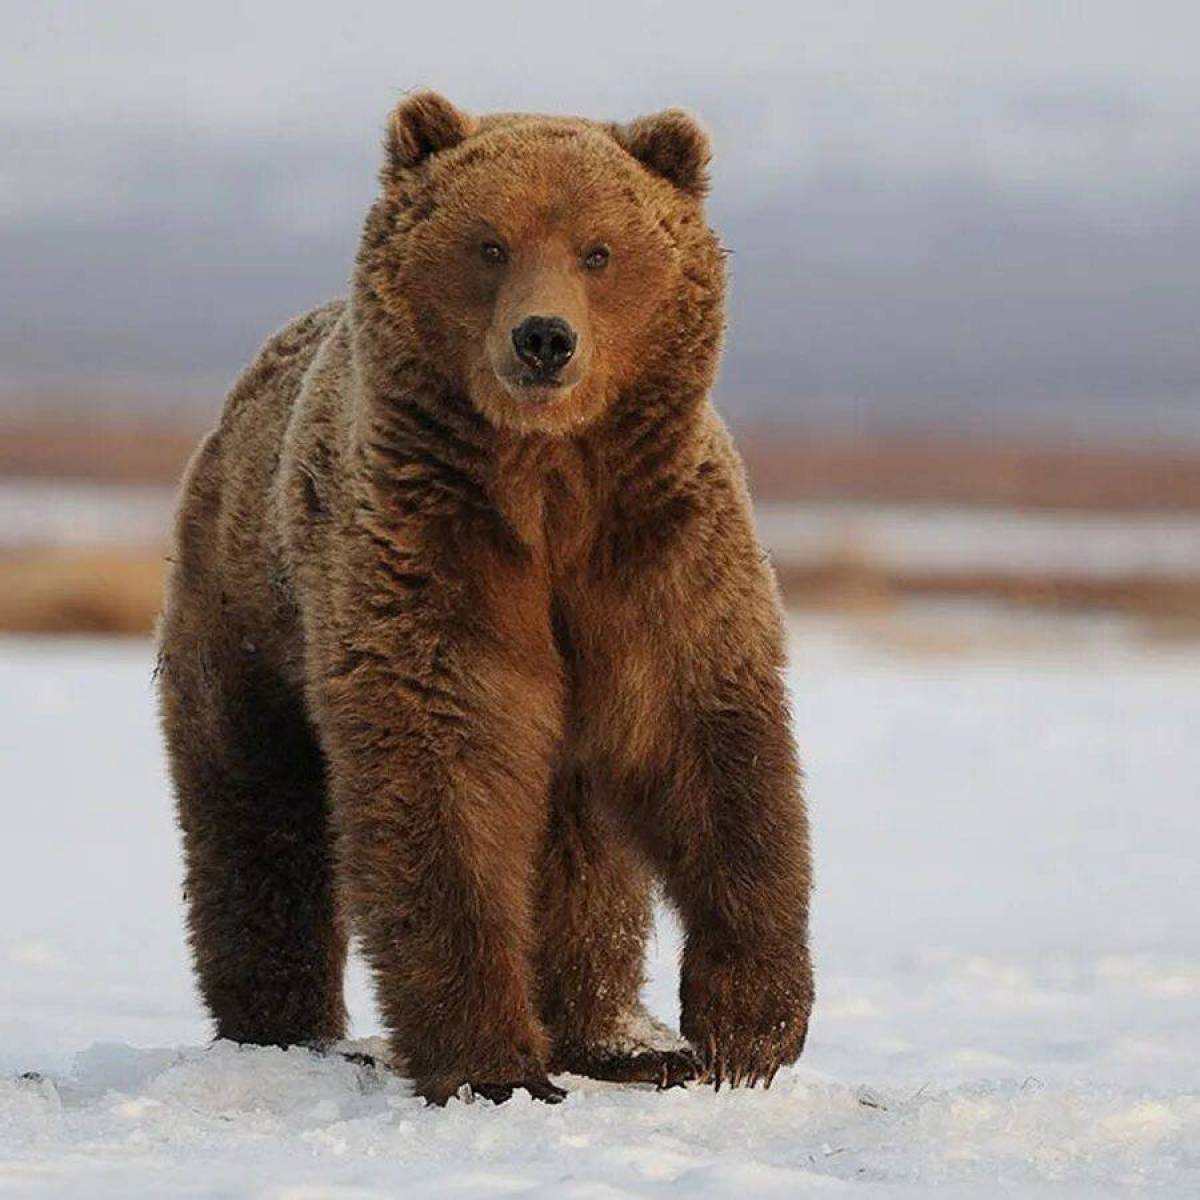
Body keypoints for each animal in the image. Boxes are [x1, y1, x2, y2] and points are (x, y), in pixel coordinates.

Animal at [157, 93, 816, 1104]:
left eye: (598, 249)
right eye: (490, 243)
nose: (544, 339)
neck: (546, 480)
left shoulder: (652, 544)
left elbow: (710, 742)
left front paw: (746, 1029)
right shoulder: (429, 548)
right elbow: (446, 769)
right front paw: (492, 1062)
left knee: (585, 849)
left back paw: (619, 1040)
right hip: (246, 613)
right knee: (256, 813)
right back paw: (286, 1030)